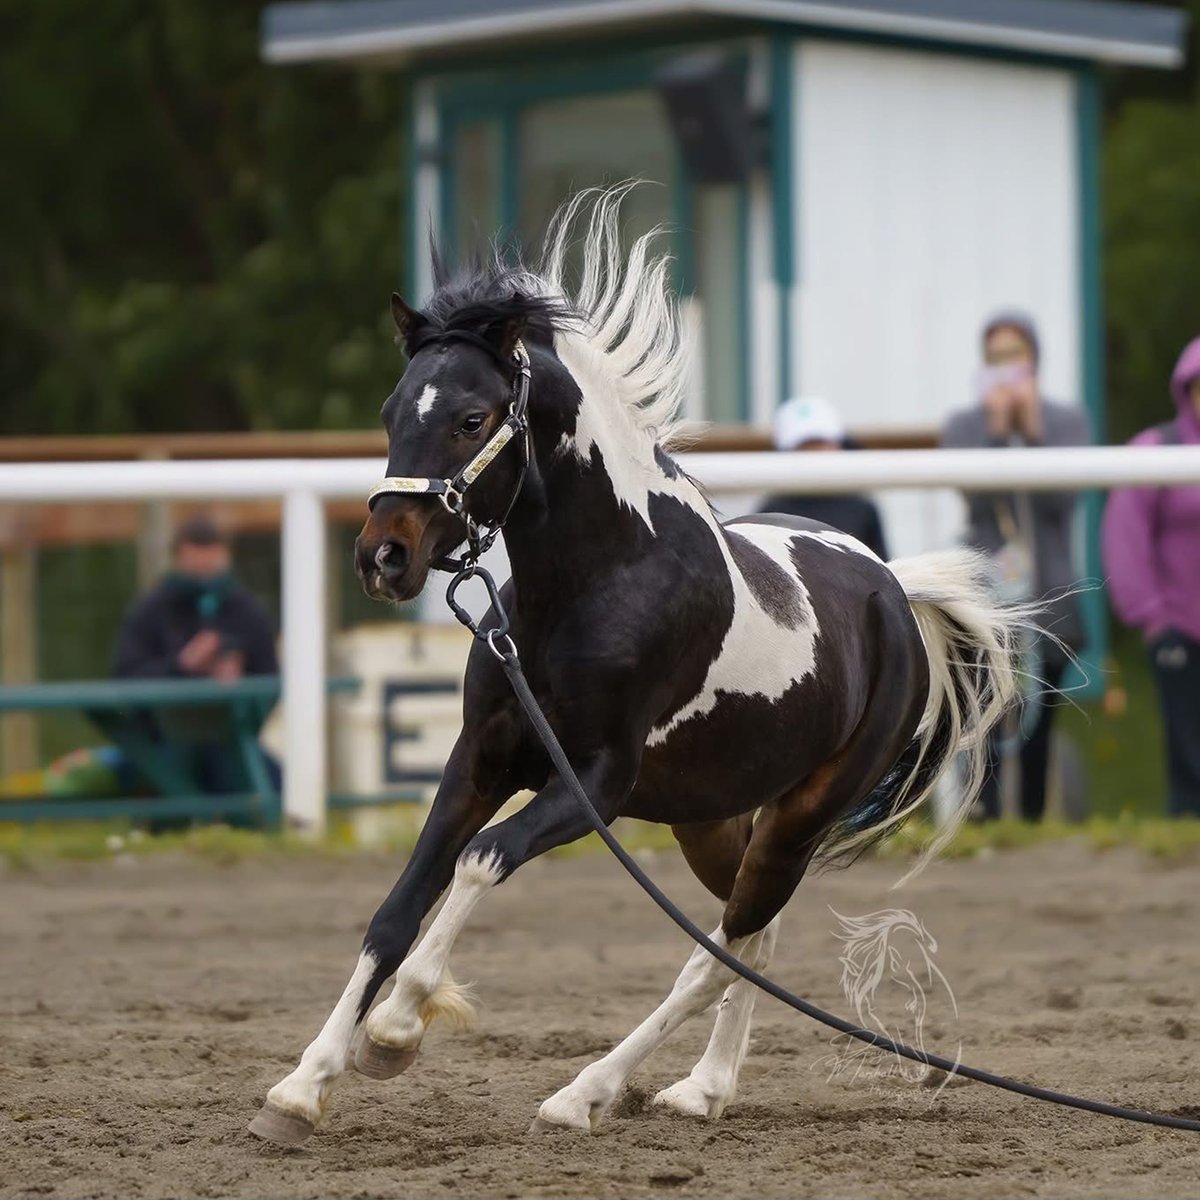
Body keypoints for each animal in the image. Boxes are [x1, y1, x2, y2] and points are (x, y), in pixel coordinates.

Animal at [250, 186, 1023, 1145]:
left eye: (471, 419)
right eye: (394, 412)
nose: (383, 557)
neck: (592, 588)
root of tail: (893, 592)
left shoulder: (595, 782)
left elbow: (483, 862)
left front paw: (394, 1031)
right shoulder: (479, 762)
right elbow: (396, 910)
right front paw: (301, 1086)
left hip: (798, 817)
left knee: (719, 952)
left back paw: (588, 1092)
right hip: (713, 819)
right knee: (749, 940)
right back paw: (702, 1089)